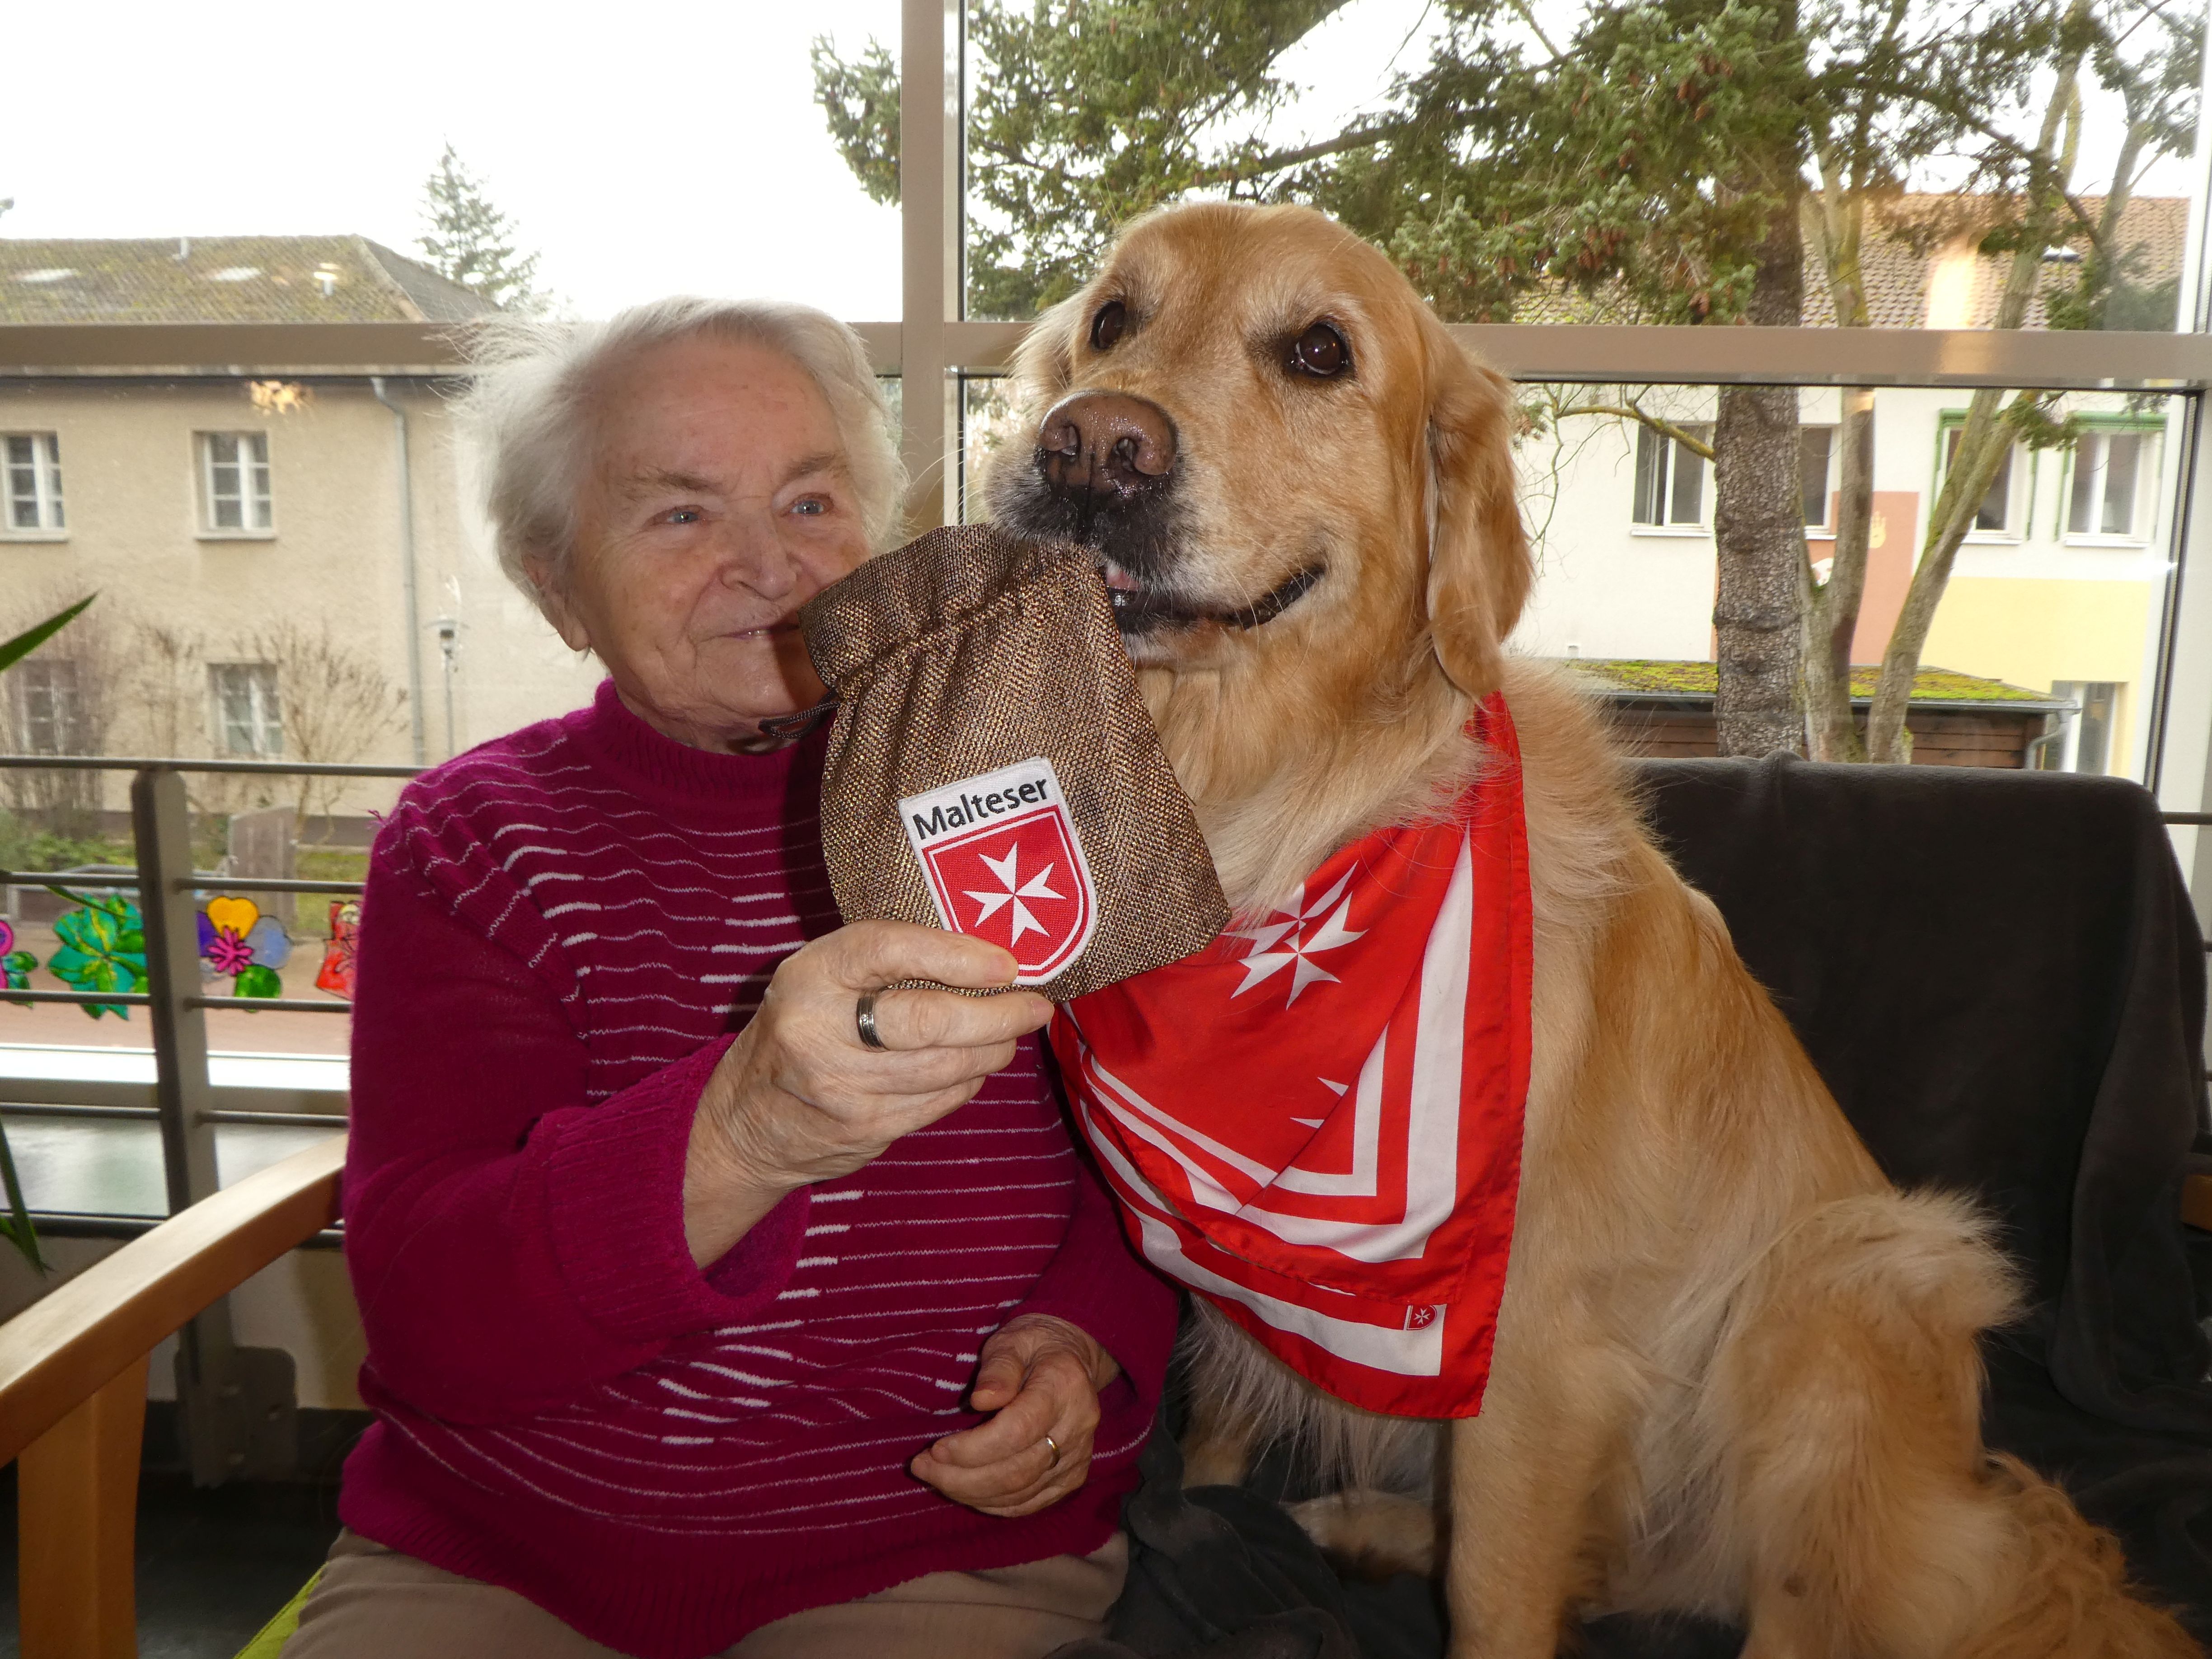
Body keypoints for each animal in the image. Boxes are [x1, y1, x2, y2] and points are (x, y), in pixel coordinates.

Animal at [986, 204, 2194, 1659]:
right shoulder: (1228, 1303)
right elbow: (1218, 1441)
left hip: (1858, 1276)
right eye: (1113, 319)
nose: (1090, 449)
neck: (1259, 812)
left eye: (1320, 350)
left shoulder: (1531, 1360)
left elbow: (1496, 1600)